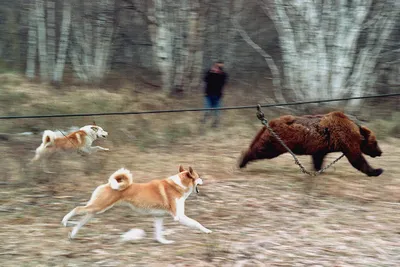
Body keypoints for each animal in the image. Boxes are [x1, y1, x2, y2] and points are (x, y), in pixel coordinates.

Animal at [239, 111, 382, 177]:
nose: (380, 152)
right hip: (277, 142)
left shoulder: (322, 147)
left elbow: (318, 158)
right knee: (262, 150)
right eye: (375, 142)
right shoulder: (345, 139)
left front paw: (317, 170)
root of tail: (270, 122)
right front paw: (377, 170)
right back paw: (242, 161)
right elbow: (356, 158)